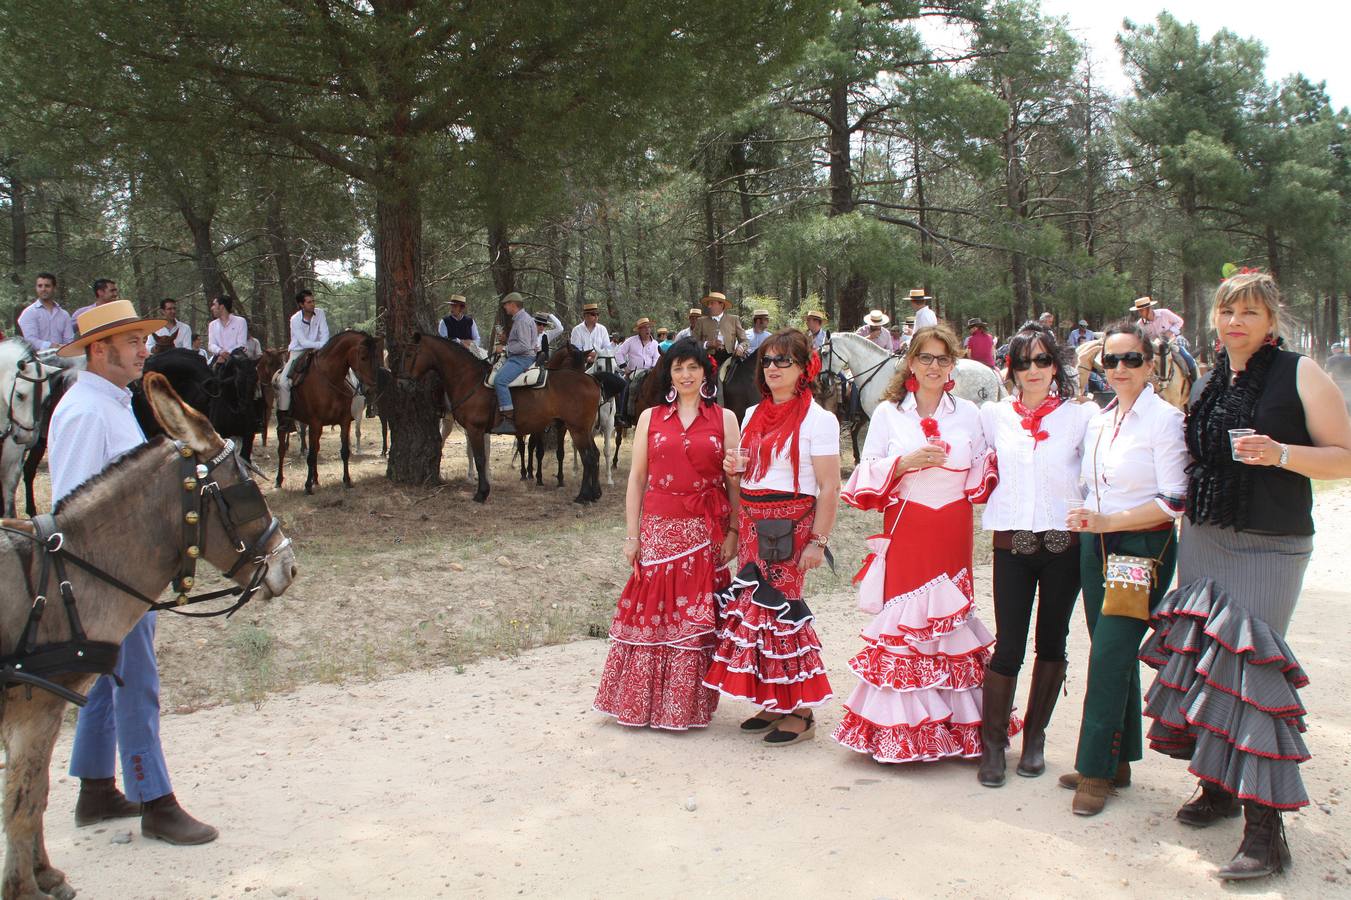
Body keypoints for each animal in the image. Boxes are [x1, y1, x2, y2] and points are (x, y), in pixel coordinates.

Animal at [272, 328, 380, 491]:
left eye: (375, 357)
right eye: (363, 357)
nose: (371, 389)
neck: (330, 379)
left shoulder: (344, 422)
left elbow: (344, 451)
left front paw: (347, 480)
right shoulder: (315, 423)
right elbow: (310, 456)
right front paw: (307, 486)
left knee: (315, 448)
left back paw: (315, 479)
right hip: (285, 421)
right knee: (282, 449)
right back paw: (279, 480)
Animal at [405, 331, 602, 500]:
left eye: (409, 354)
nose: (405, 380)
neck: (470, 379)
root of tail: (591, 381)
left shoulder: (475, 429)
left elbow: (480, 459)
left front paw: (481, 493)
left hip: (577, 429)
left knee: (588, 457)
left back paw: (583, 496)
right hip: (583, 429)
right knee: (593, 455)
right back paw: (593, 494)